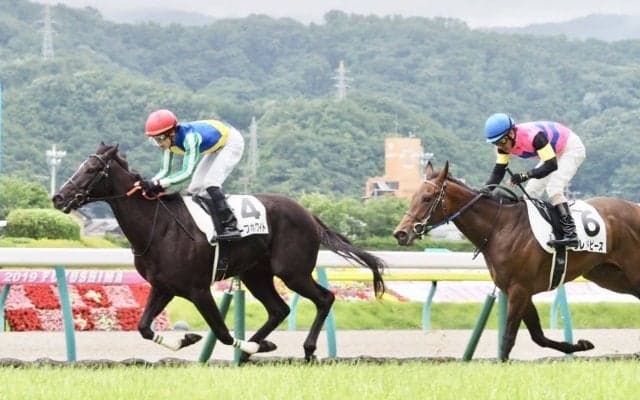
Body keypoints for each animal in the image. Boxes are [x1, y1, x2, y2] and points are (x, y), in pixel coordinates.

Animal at [52, 143, 385, 362]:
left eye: (92, 169)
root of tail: (309, 214)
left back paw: (305, 349)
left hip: (292, 272)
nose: (59, 197)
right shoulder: (163, 287)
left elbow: (223, 333)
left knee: (324, 298)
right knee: (279, 309)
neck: (159, 226)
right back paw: (256, 348)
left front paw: (243, 345)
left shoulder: (199, 290)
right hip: (256, 274)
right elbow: (144, 327)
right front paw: (188, 337)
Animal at [393, 161, 640, 361]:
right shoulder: (519, 290)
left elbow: (509, 337)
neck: (500, 227)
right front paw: (581, 345)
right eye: (412, 197)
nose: (401, 233)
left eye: (427, 198)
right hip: (610, 276)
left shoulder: (519, 289)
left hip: (631, 273)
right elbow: (538, 336)